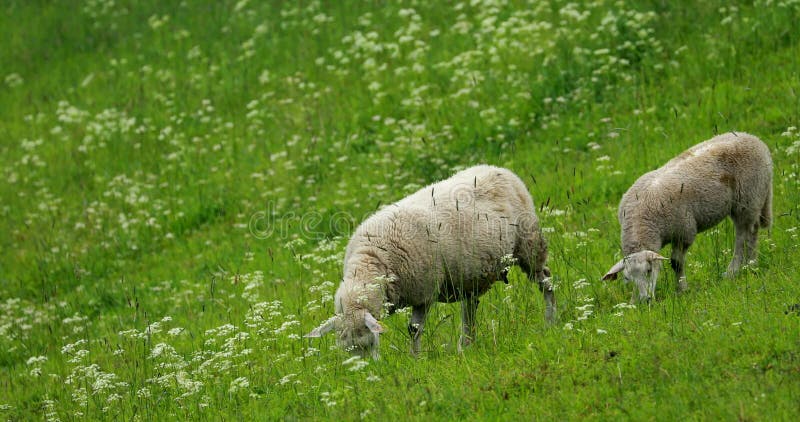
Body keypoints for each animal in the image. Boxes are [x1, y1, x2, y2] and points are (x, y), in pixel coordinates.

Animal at [304, 165, 552, 360]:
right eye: (345, 349)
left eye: (370, 343)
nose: (364, 372)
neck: (373, 258)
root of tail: (499, 169)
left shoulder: (424, 291)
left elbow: (414, 328)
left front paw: (415, 359)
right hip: (471, 273)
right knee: (469, 308)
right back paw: (466, 346)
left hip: (529, 245)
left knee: (546, 282)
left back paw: (552, 321)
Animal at [604, 132, 772, 300]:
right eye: (627, 278)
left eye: (649, 271)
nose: (645, 300)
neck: (642, 221)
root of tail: (755, 140)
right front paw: (633, 300)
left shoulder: (684, 232)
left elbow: (676, 262)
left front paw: (681, 290)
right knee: (749, 231)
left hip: (748, 199)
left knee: (745, 236)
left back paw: (742, 268)